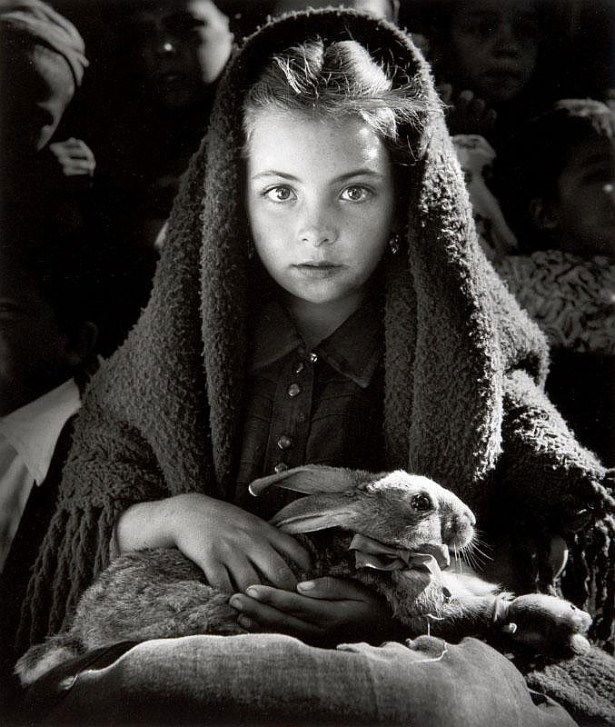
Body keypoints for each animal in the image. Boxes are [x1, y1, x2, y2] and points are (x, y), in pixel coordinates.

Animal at [15, 470, 592, 684]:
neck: (380, 551)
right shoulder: (426, 602)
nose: (470, 520)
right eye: (421, 503)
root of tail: (79, 632)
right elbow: (478, 609)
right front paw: (564, 622)